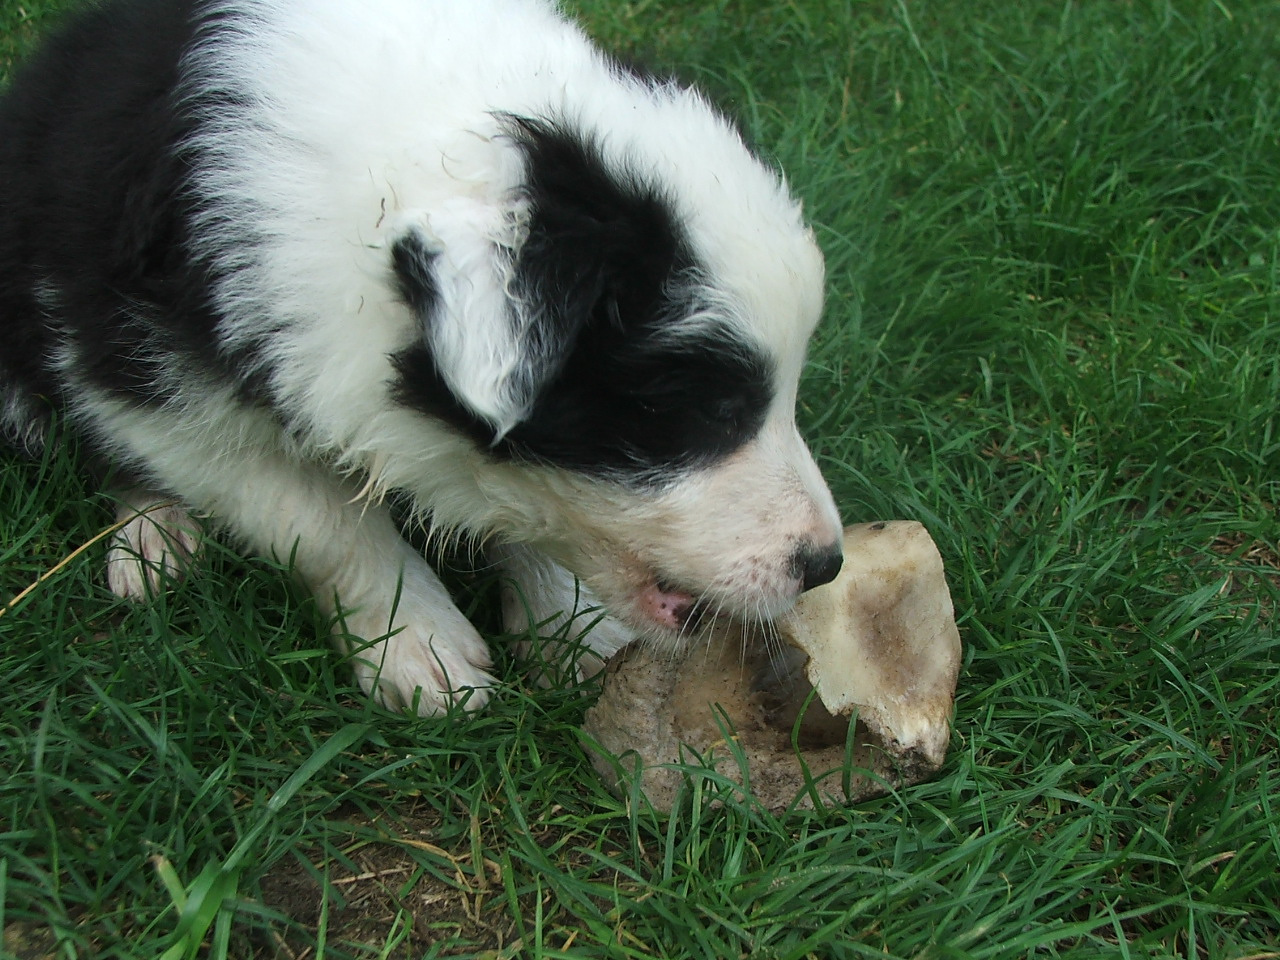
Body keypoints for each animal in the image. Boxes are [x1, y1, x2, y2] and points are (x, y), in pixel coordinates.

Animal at [2, 0, 849, 711]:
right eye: (712, 409)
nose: (826, 567)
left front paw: (567, 625)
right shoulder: (132, 370)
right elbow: (319, 520)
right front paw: (421, 648)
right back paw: (154, 538)